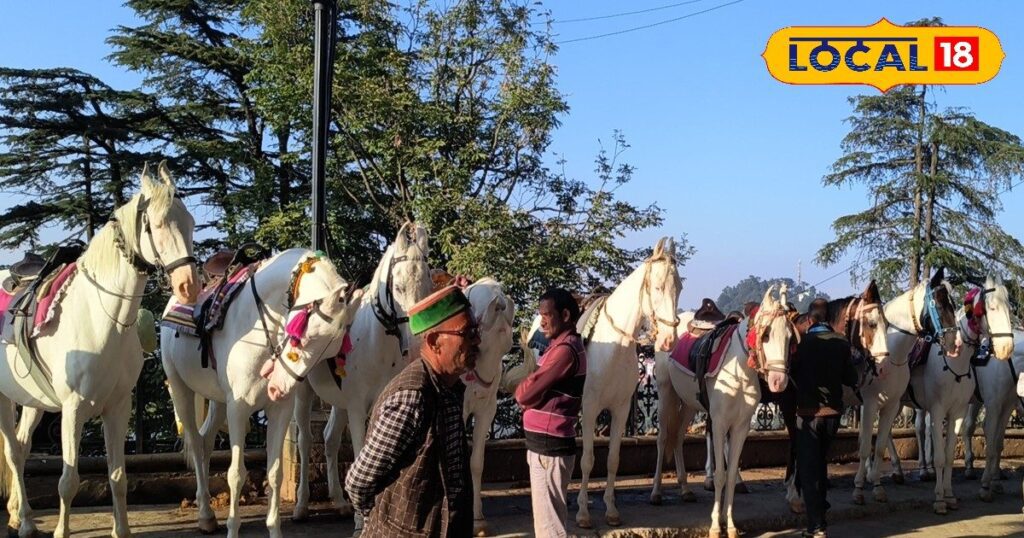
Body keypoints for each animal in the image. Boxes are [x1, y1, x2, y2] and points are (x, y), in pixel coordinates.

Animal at [0, 164, 198, 536]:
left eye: (191, 222)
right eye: (158, 224)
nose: (188, 285)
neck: (101, 318)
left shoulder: (117, 407)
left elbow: (118, 477)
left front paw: (121, 530)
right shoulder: (73, 410)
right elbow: (68, 481)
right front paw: (62, 531)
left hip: (32, 400)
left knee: (21, 445)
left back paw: (21, 516)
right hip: (5, 399)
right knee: (14, 453)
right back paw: (27, 522)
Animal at [161, 250, 362, 532]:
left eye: (331, 351)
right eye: (303, 337)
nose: (279, 387)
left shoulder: (279, 409)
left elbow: (275, 472)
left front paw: (274, 528)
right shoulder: (238, 408)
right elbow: (236, 474)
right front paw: (233, 528)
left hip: (218, 400)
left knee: (206, 440)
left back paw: (207, 513)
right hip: (181, 390)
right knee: (195, 440)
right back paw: (205, 514)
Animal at [292, 222, 432, 524]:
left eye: (428, 285)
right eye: (398, 287)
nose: (417, 344)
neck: (375, 339)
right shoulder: (357, 407)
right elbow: (360, 450)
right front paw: (362, 517)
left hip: (339, 400)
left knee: (330, 439)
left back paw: (339, 501)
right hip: (304, 393)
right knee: (305, 440)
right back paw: (301, 505)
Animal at [651, 286, 794, 532]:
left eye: (789, 338)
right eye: (766, 335)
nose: (779, 381)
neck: (739, 369)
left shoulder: (741, 426)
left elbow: (730, 474)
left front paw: (731, 525)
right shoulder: (718, 423)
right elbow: (719, 475)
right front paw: (716, 526)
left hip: (688, 403)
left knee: (677, 438)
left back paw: (685, 488)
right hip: (666, 393)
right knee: (663, 439)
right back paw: (656, 492)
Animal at [851, 270, 962, 506]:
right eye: (939, 304)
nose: (954, 344)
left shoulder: (894, 403)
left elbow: (885, 440)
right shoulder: (870, 402)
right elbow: (867, 441)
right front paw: (860, 487)